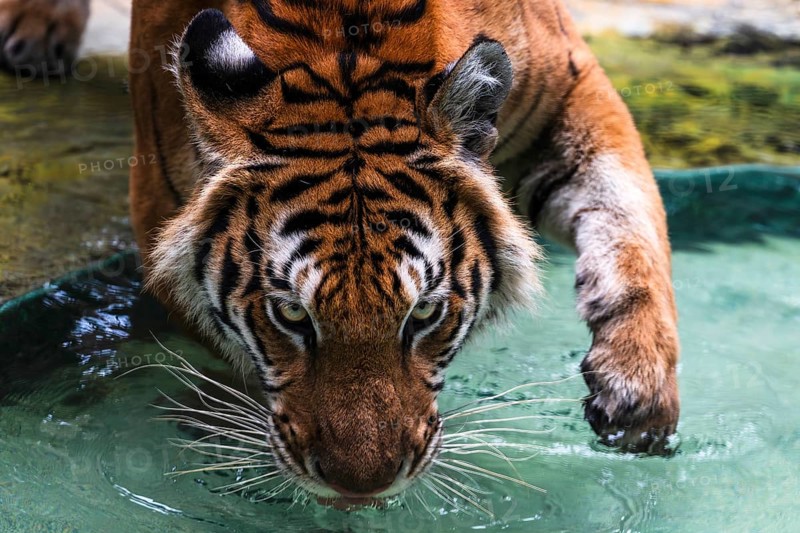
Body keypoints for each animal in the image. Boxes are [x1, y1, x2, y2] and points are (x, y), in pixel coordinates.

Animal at [1, 0, 680, 503]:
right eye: (290, 315)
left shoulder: (570, 89)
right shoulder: (157, 205)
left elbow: (630, 218)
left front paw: (639, 391)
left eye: (424, 314)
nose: (362, 488)